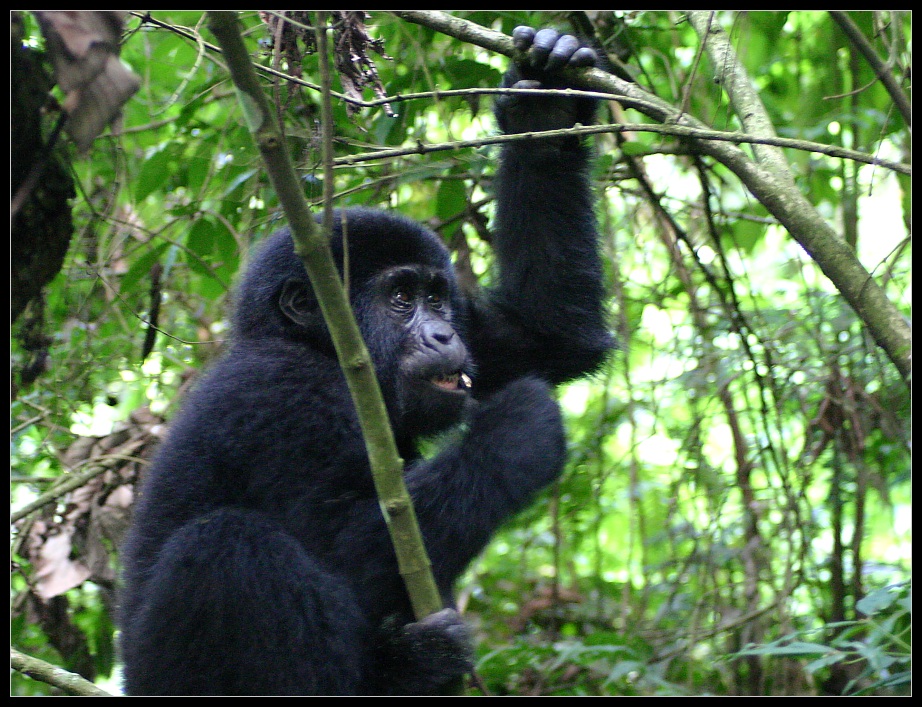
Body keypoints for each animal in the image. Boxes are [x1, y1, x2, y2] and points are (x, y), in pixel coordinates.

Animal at [118, 27, 616, 696]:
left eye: (436, 297)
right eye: (400, 299)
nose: (442, 334)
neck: (318, 349)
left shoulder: (478, 330)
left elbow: (548, 330)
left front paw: (546, 109)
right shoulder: (283, 398)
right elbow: (348, 547)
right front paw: (517, 429)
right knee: (228, 546)